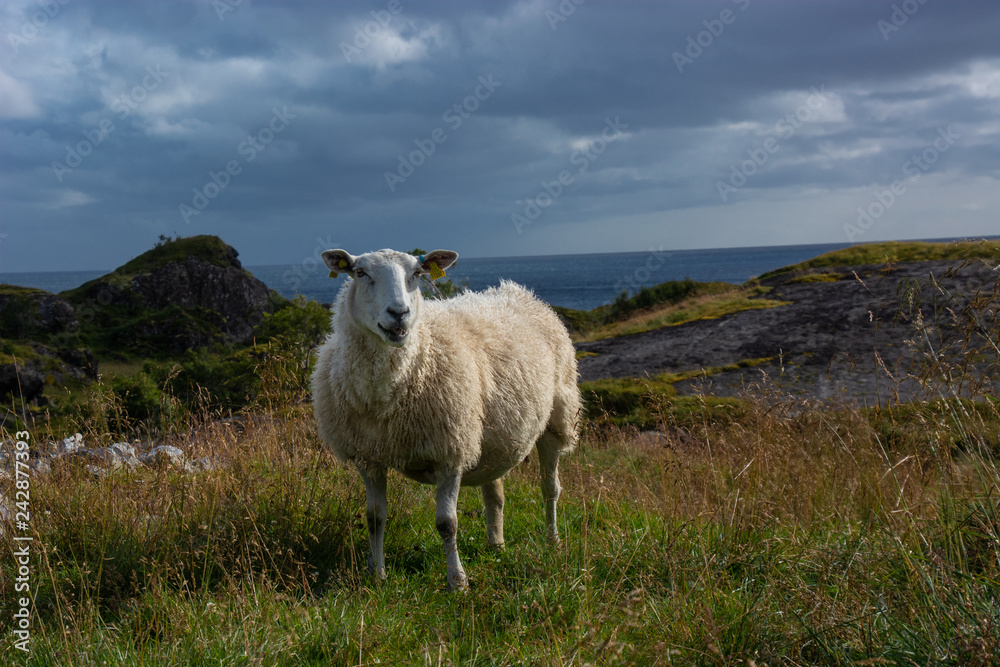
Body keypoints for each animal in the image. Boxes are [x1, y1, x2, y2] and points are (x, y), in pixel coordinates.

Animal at [311, 248, 581, 590]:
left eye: (417, 273)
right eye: (360, 273)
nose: (399, 313)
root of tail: (519, 292)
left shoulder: (450, 451)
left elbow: (446, 523)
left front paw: (457, 581)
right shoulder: (368, 457)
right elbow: (374, 518)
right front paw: (377, 574)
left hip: (556, 418)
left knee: (550, 489)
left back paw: (552, 541)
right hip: (492, 437)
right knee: (495, 493)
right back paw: (496, 543)